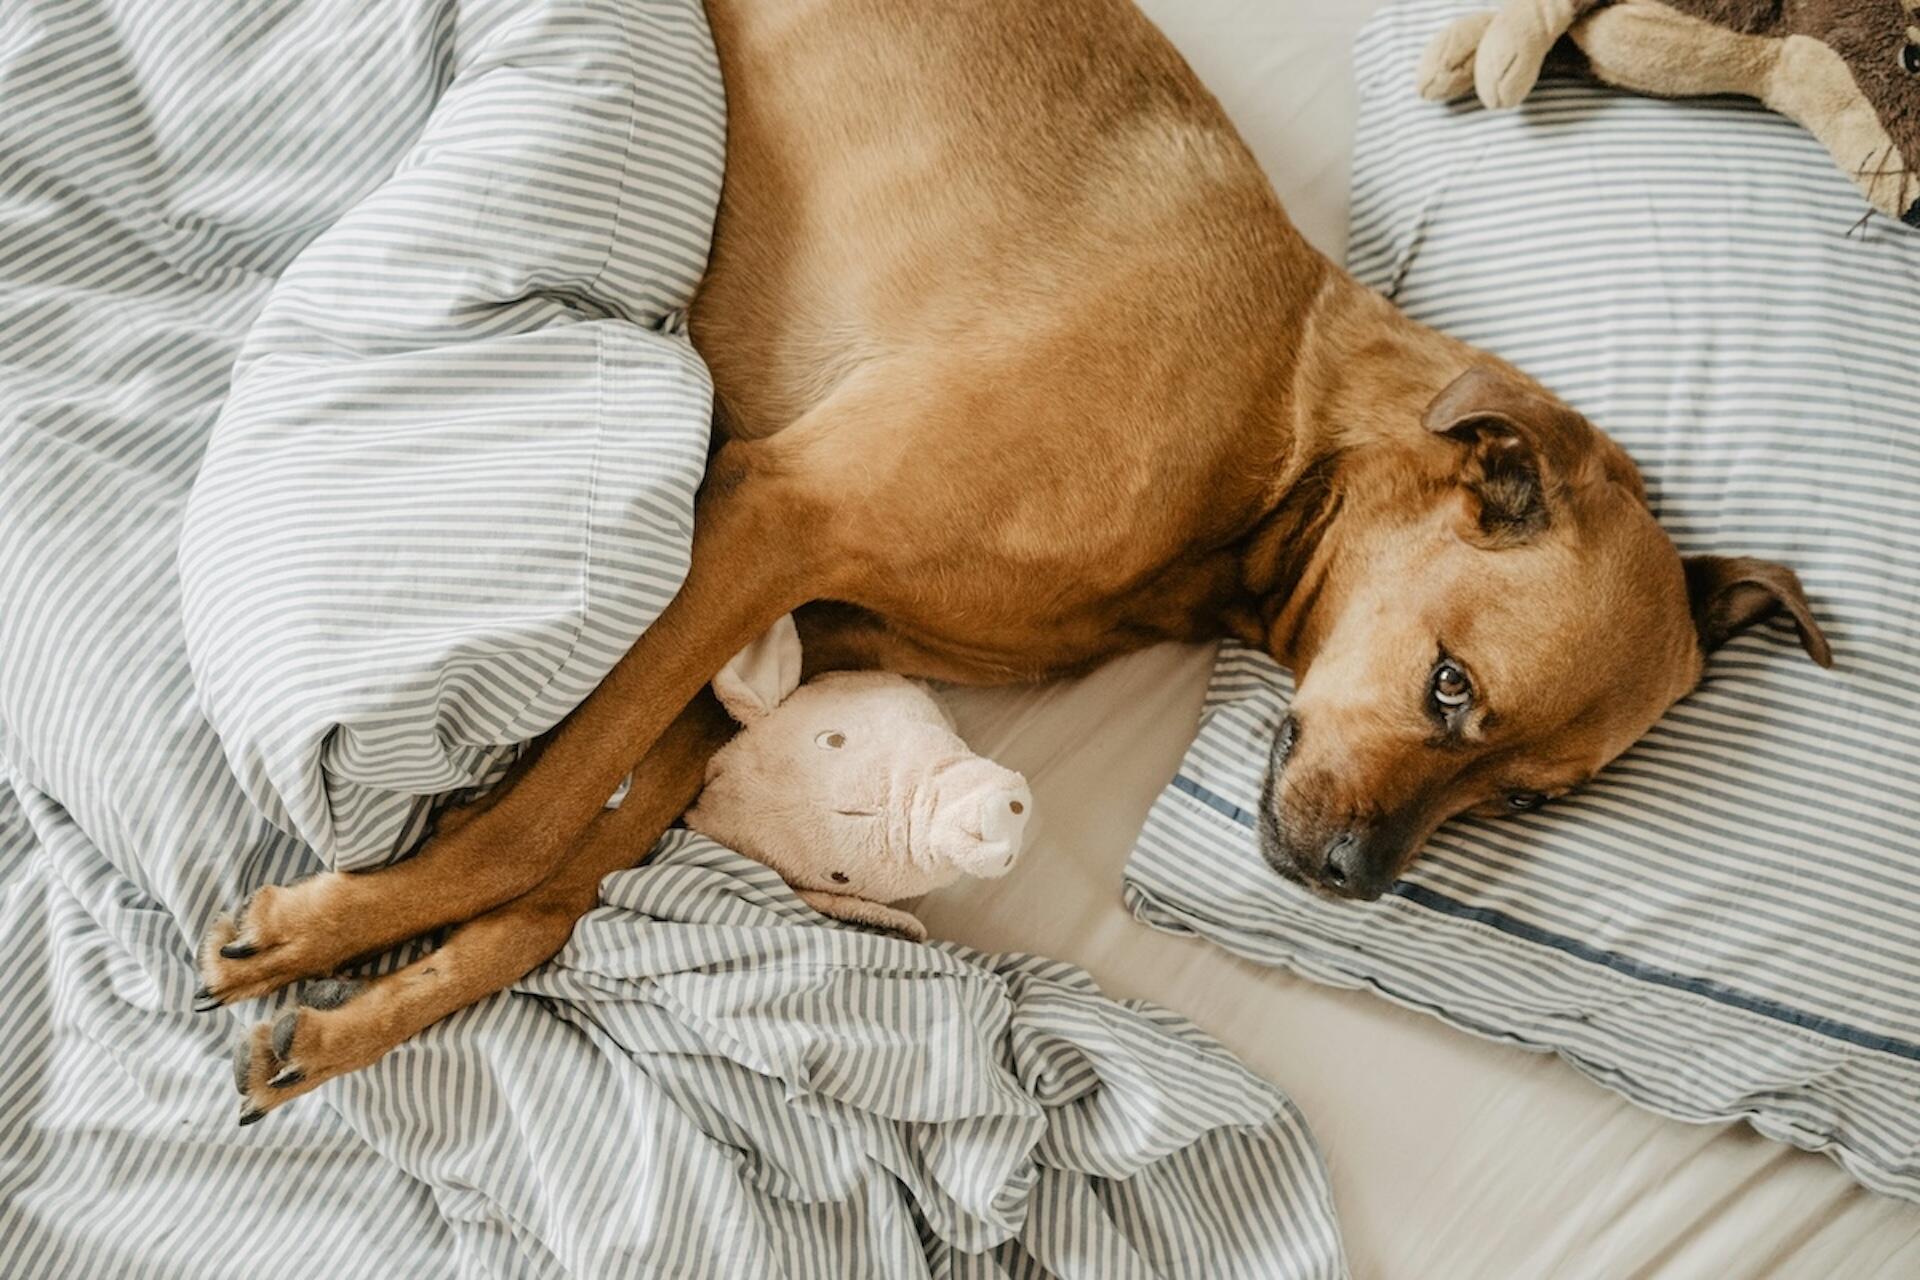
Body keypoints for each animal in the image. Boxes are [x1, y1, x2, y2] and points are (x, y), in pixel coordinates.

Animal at [203, 0, 1829, 1120]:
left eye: (1524, 799)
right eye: (1448, 690)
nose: (1355, 884)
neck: (1277, 439)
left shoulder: (800, 624)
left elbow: (572, 872)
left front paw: (355, 1008)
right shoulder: (774, 519)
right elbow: (544, 818)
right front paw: (324, 926)